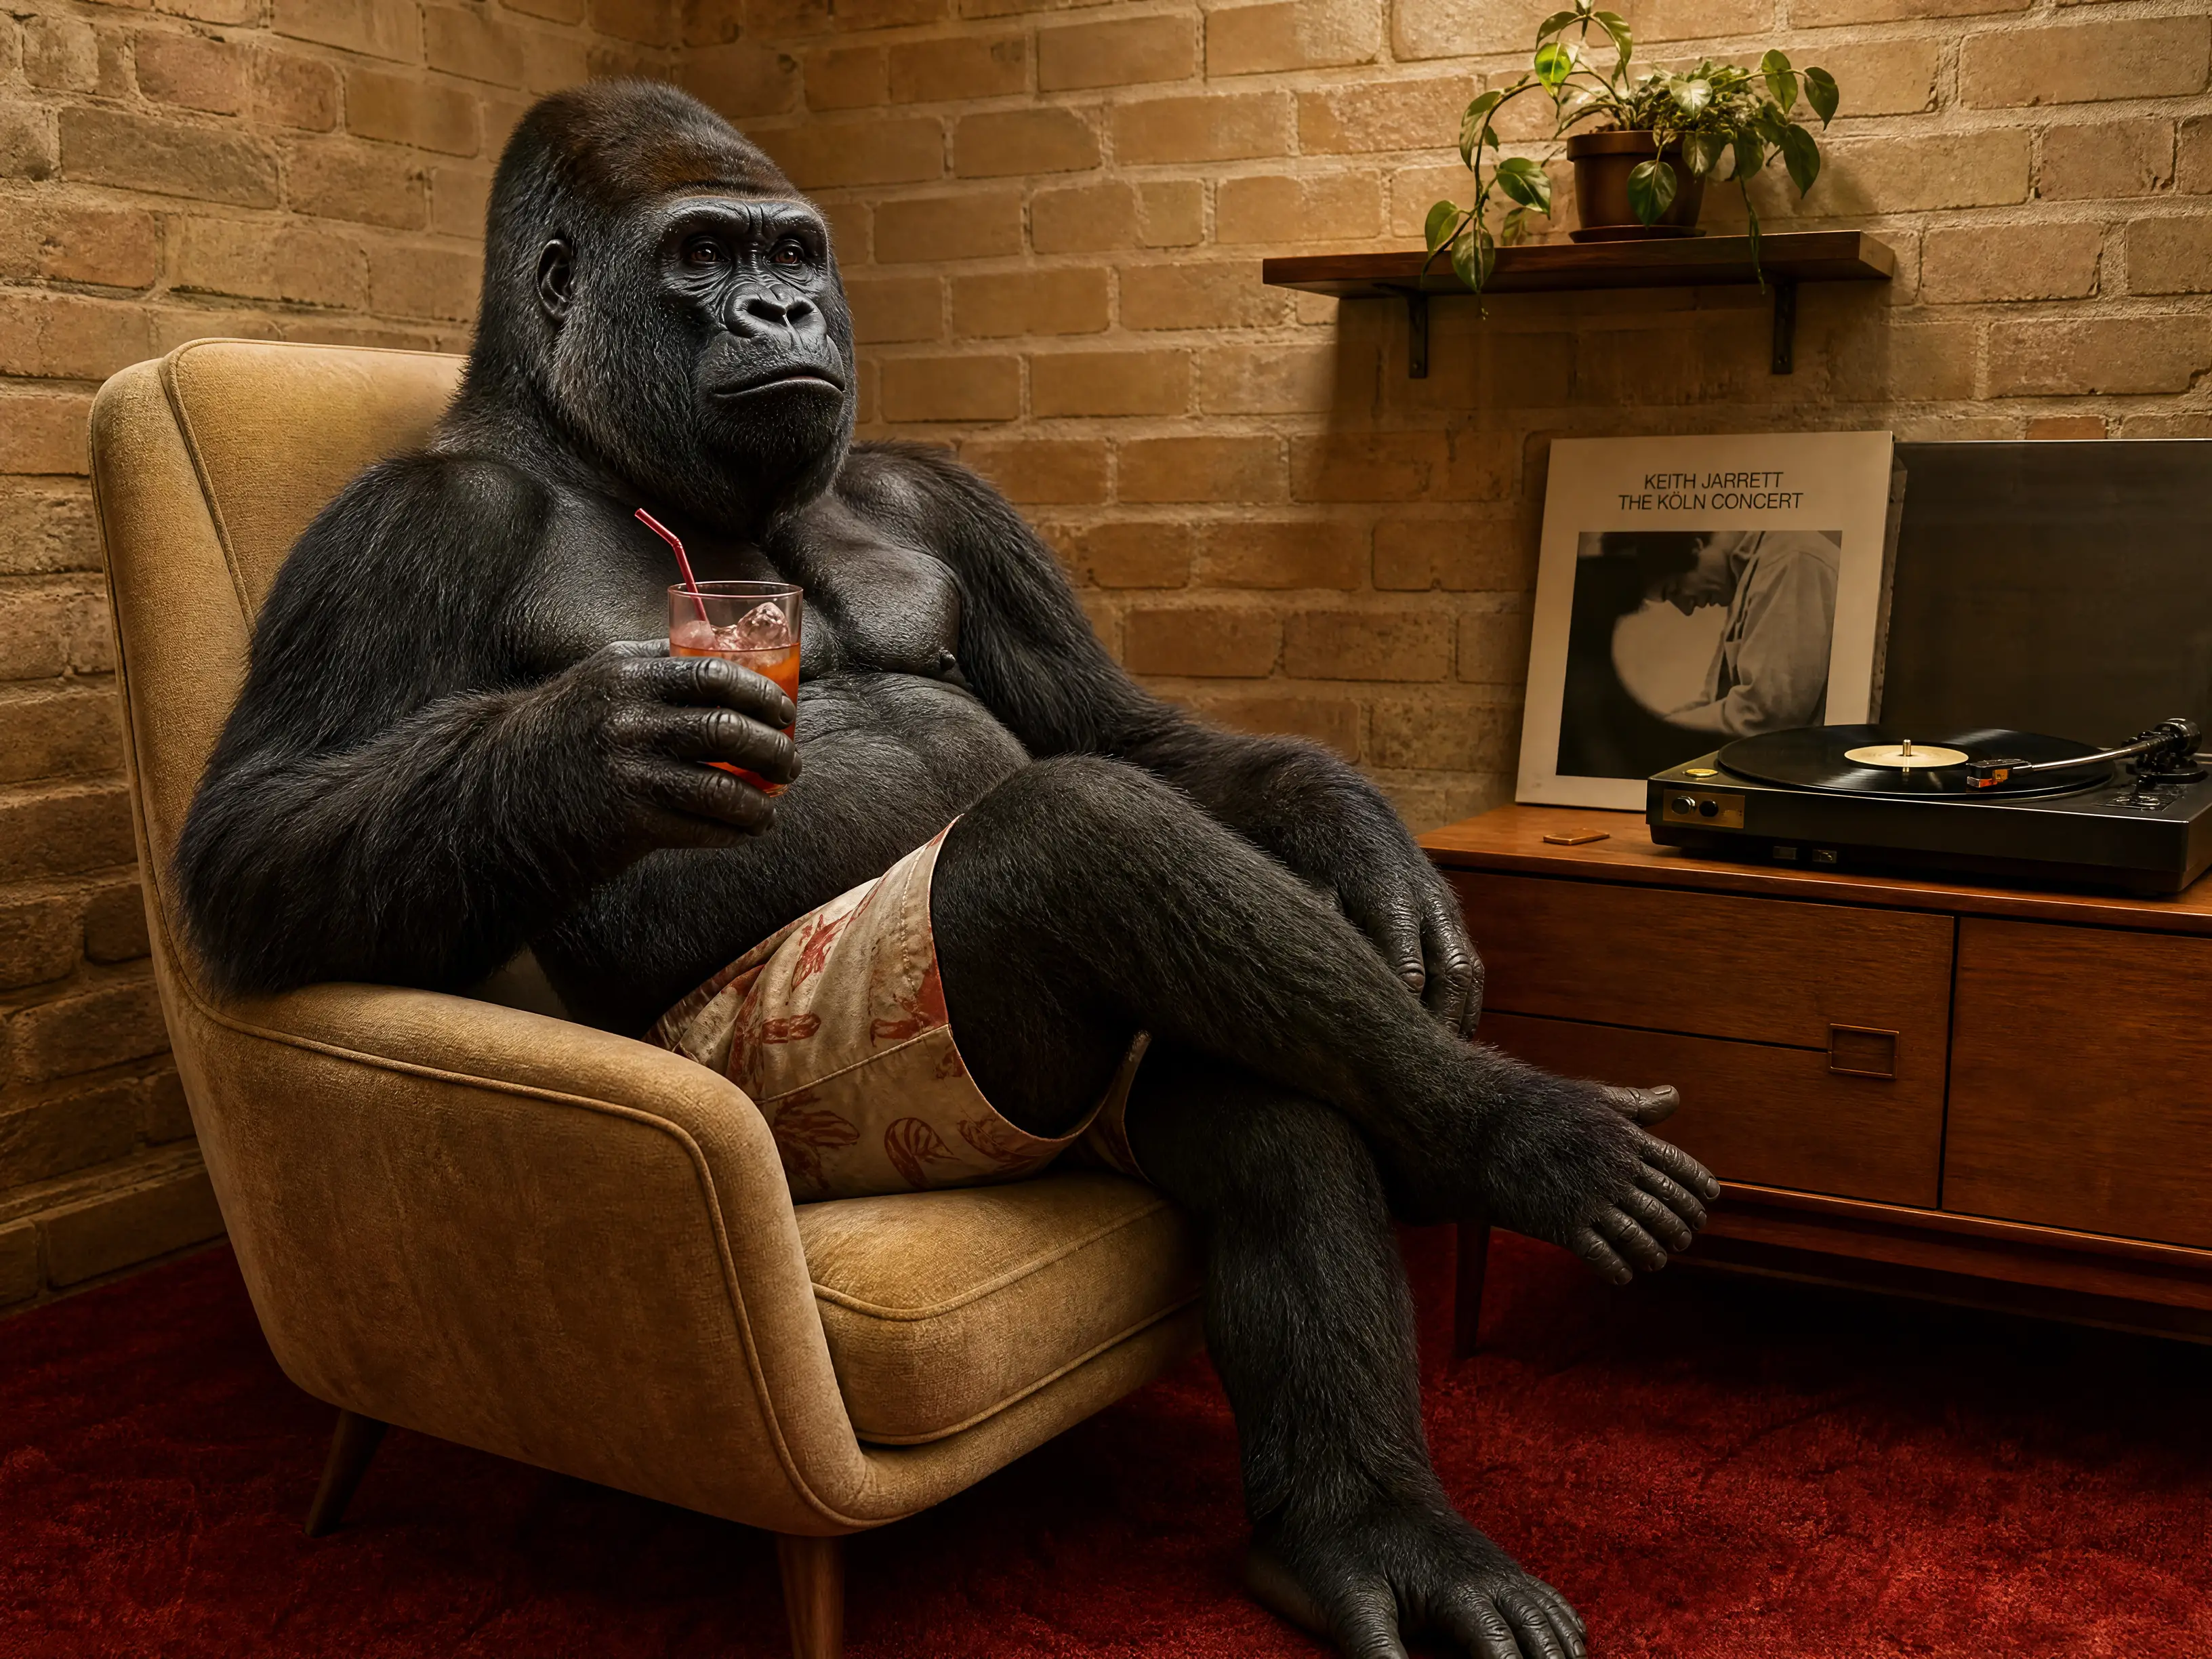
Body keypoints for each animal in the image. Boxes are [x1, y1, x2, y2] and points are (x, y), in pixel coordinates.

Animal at [177, 81, 1717, 1659]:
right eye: (702, 255)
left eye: (790, 250)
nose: (784, 308)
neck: (584, 449)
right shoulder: (404, 529)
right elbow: (253, 841)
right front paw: (590, 748)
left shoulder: (938, 498)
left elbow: (1113, 727)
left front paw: (1367, 848)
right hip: (844, 1068)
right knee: (1060, 845)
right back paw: (1527, 1151)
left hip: (1085, 1114)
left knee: (1246, 1095)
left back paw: (1368, 1503)